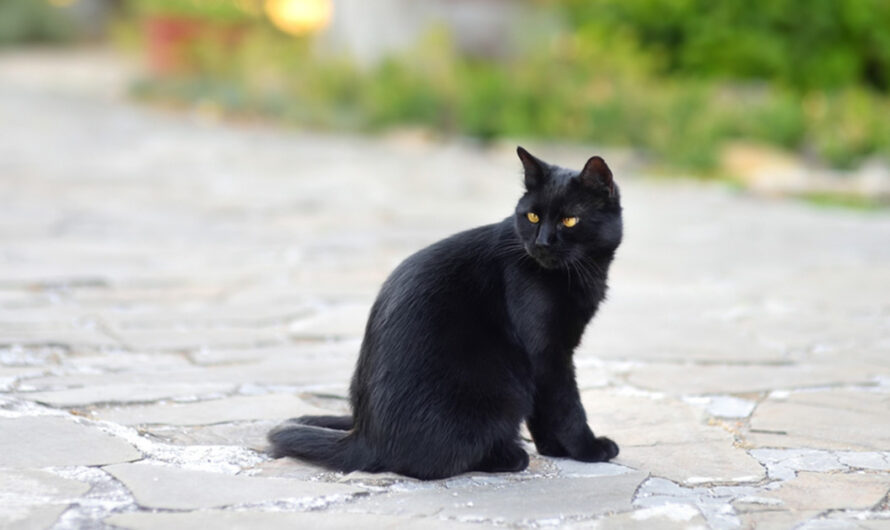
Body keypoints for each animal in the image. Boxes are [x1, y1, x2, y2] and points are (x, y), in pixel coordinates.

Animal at [268, 145, 620, 478]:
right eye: (532, 217)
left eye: (569, 220)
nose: (542, 242)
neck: (578, 273)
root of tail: (367, 437)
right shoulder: (547, 355)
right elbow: (566, 407)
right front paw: (588, 449)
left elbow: (544, 413)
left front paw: (553, 449)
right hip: (501, 392)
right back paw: (510, 456)